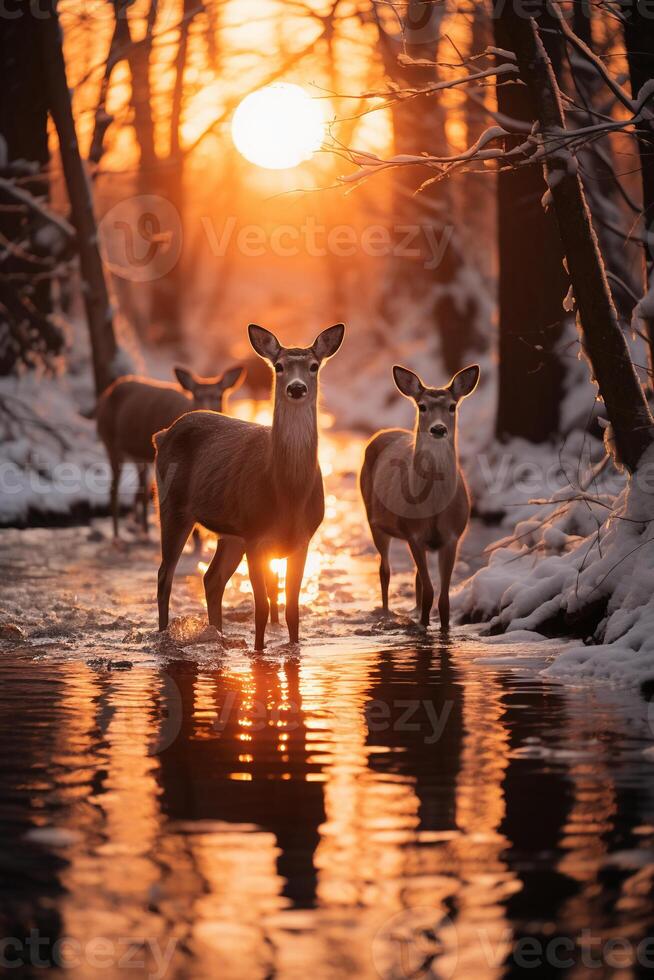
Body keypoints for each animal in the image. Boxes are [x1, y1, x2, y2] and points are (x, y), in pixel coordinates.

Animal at [100, 366, 246, 540]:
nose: (207, 409)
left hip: (139, 457)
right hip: (110, 442)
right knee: (114, 489)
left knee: (141, 490)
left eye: (220, 395)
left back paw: (144, 531)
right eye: (196, 394)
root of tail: (107, 393)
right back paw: (117, 535)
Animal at [156, 322, 346, 652]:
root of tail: (163, 434)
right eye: (279, 366)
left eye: (314, 366)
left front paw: (293, 649)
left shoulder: (302, 539)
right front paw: (259, 651)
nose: (296, 388)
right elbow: (262, 608)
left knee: (212, 579)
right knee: (164, 575)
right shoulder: (256, 535)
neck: (288, 493)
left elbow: (291, 609)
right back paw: (164, 635)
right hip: (173, 506)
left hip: (232, 534)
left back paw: (218, 635)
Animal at [358, 366, 482, 628]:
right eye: (422, 406)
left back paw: (413, 612)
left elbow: (443, 599)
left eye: (452, 406)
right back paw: (386, 613)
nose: (438, 429)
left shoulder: (452, 536)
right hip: (375, 522)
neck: (434, 506)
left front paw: (442, 627)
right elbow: (430, 592)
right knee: (385, 570)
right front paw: (423, 626)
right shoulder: (413, 533)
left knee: (415, 578)